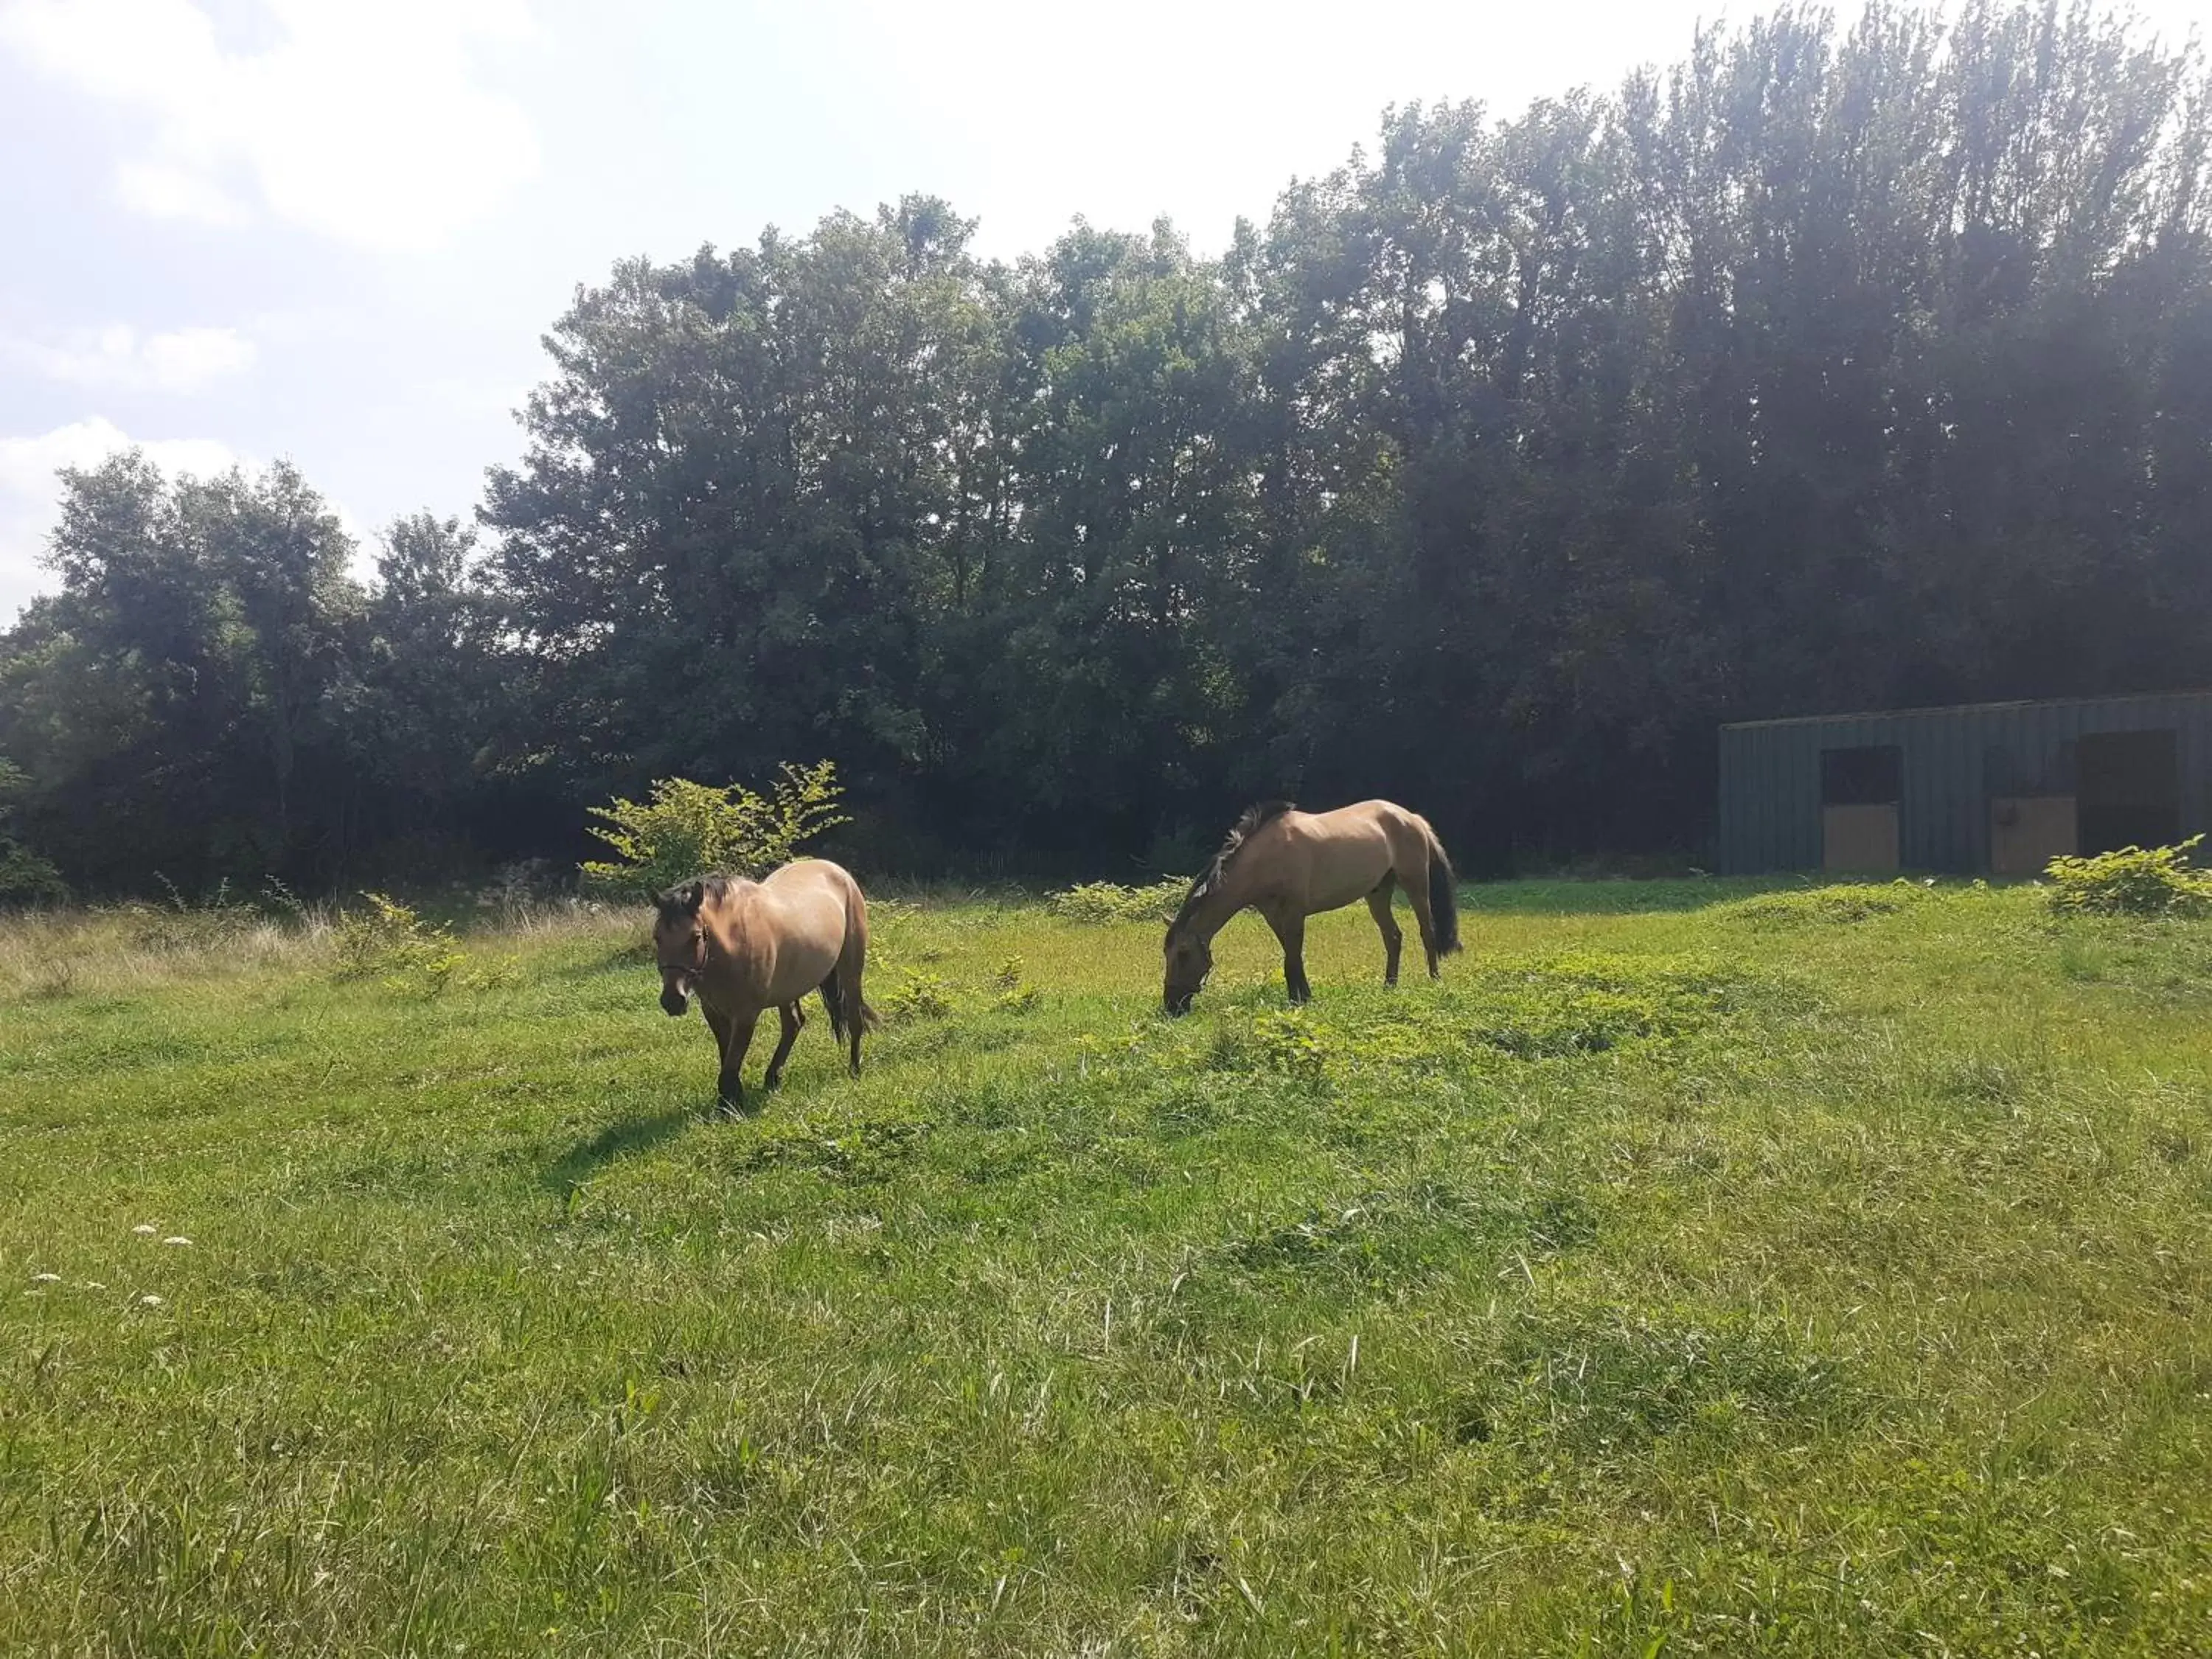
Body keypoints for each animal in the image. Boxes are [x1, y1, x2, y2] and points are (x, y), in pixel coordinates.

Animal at [646, 858, 872, 1119]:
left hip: (851, 971)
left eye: (695, 937)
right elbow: (727, 1058)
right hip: (787, 990)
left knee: (854, 1020)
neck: (732, 943)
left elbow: (731, 1064)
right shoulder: (714, 1012)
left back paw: (854, 1069)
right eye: (657, 938)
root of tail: (839, 871)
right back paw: (773, 1078)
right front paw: (731, 1100)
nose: (673, 1001)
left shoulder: (746, 1015)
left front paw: (729, 1107)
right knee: (793, 1025)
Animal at [1168, 801, 1460, 1022]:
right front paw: (1299, 997)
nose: (1172, 1007)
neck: (1266, 858)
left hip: (1415, 885)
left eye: (1183, 954)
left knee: (1427, 932)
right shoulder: (1274, 915)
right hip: (1378, 893)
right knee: (1394, 937)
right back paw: (1389, 986)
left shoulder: (1294, 913)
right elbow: (1291, 957)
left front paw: (1300, 1000)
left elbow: (1293, 958)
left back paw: (1434, 980)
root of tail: (1412, 818)